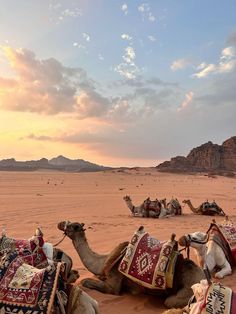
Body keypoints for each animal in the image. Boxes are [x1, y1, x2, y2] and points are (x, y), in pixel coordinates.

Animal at [57, 221, 205, 310]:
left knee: (170, 301)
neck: (104, 260)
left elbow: (87, 282)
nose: (60, 223)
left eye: (72, 226)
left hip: (187, 290)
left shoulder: (114, 283)